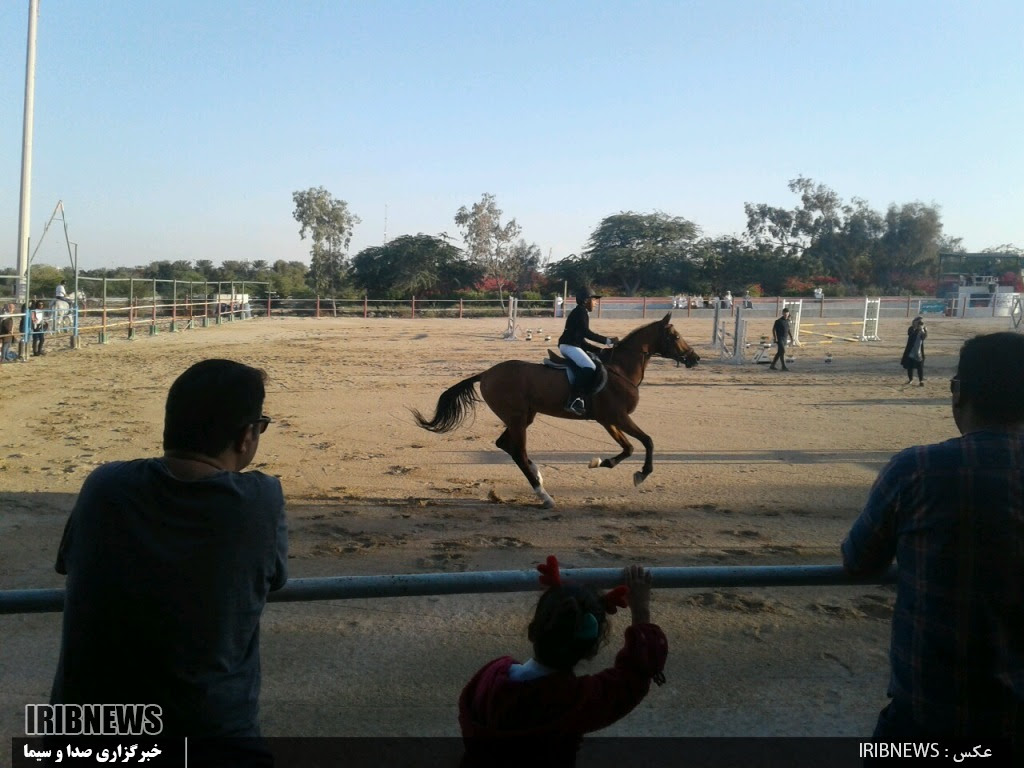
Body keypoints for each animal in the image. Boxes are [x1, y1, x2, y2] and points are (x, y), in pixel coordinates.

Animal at [411, 315, 700, 507]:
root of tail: (487, 373)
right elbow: (648, 441)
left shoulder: (608, 420)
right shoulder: (619, 417)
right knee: (517, 450)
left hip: (524, 417)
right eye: (675, 337)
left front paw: (601, 462)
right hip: (518, 419)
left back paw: (538, 476)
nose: (695, 359)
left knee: (506, 445)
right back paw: (543, 494)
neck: (621, 370)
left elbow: (628, 448)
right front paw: (642, 474)